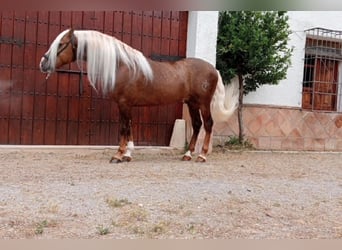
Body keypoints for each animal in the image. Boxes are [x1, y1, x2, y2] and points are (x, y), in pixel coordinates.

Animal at [39, 28, 238, 162]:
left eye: (61, 44)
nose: (43, 63)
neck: (121, 65)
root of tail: (213, 69)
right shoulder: (126, 105)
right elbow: (129, 126)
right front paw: (127, 154)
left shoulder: (124, 103)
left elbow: (123, 128)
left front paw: (118, 155)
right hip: (191, 103)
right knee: (197, 125)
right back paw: (188, 155)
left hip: (203, 103)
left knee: (208, 124)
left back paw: (202, 156)